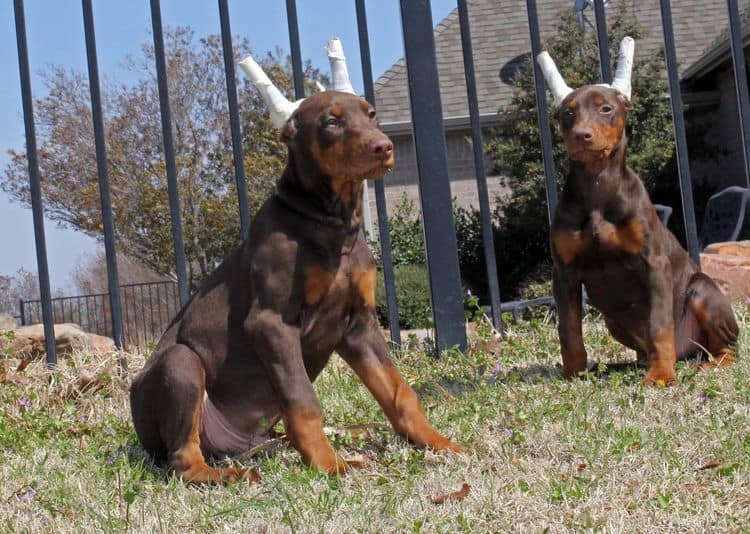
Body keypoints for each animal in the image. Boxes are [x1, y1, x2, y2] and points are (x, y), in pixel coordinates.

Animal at [132, 91, 468, 486]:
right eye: (331, 121)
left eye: (371, 114)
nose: (383, 146)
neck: (332, 222)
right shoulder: (272, 323)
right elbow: (304, 401)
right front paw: (327, 464)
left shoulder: (360, 325)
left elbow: (400, 392)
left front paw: (438, 443)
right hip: (180, 364)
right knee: (182, 460)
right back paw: (232, 475)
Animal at [540, 40, 740, 386]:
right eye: (568, 112)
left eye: (606, 108)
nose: (581, 135)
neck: (597, 184)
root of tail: (688, 353)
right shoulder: (564, 272)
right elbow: (569, 329)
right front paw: (573, 374)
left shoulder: (653, 263)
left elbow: (659, 325)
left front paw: (660, 376)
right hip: (614, 323)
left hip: (702, 291)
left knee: (727, 347)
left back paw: (708, 364)